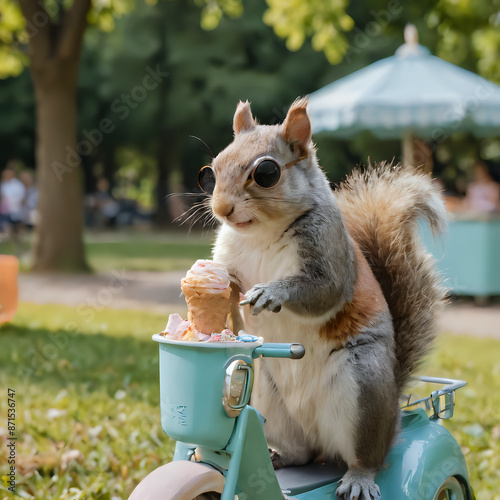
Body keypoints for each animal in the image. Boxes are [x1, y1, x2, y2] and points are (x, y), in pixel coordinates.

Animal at [199, 98, 446, 500]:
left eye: (266, 172)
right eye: (212, 170)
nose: (221, 209)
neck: (260, 234)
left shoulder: (329, 253)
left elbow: (324, 291)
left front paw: (271, 292)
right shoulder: (229, 258)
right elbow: (231, 294)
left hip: (364, 389)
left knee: (366, 456)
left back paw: (359, 478)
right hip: (269, 398)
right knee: (300, 452)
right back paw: (280, 457)